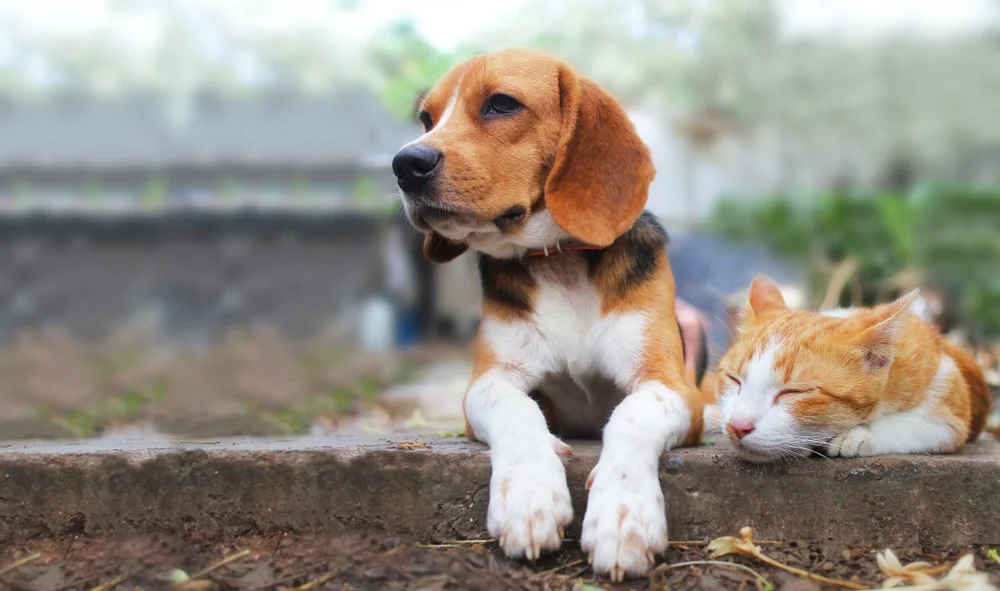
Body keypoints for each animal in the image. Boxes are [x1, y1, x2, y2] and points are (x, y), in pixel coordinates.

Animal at [390, 47, 712, 584]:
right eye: (425, 119)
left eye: (501, 104)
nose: (404, 164)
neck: (558, 260)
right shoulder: (490, 381)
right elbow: (518, 411)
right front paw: (528, 497)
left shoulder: (672, 386)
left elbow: (632, 415)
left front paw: (623, 516)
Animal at [712, 276, 992, 464]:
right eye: (733, 379)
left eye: (793, 392)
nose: (738, 426)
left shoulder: (950, 405)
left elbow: (912, 425)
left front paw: (856, 436)